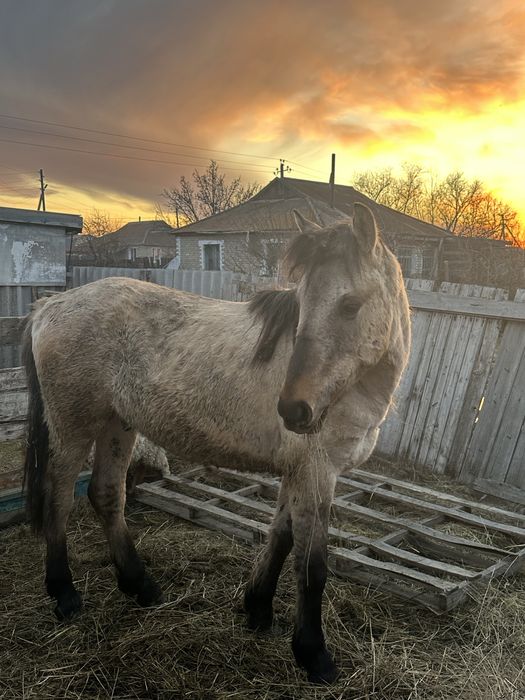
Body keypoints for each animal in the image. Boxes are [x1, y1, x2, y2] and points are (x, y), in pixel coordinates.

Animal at [23, 203, 410, 684]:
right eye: (302, 304)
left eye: (350, 304)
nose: (294, 410)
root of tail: (50, 306)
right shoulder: (318, 473)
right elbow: (312, 564)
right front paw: (313, 654)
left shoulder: (298, 472)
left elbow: (280, 537)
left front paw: (258, 609)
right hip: (73, 425)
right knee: (59, 497)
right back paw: (64, 594)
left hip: (118, 423)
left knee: (106, 495)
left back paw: (140, 585)